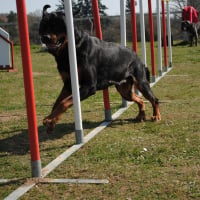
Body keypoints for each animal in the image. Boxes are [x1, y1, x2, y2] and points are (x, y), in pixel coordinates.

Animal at [39, 4, 161, 133]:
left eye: (56, 24)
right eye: (43, 25)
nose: (45, 37)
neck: (72, 48)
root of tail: (136, 56)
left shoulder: (89, 86)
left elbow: (64, 102)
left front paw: (50, 120)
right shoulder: (68, 84)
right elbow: (57, 102)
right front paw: (51, 121)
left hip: (141, 82)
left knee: (154, 99)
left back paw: (156, 116)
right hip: (124, 89)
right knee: (139, 98)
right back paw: (141, 115)